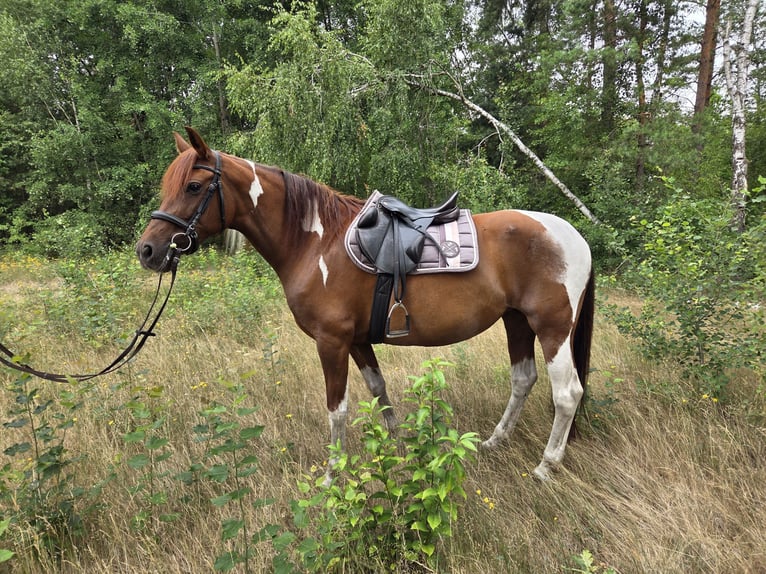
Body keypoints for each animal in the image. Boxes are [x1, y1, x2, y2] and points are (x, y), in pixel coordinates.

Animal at [136, 127, 595, 482]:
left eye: (194, 186)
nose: (148, 251)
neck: (315, 242)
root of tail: (573, 235)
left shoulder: (331, 342)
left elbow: (337, 410)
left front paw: (332, 474)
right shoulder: (356, 341)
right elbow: (378, 390)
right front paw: (400, 445)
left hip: (551, 328)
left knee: (567, 392)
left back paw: (546, 466)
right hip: (516, 320)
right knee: (523, 380)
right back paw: (496, 440)